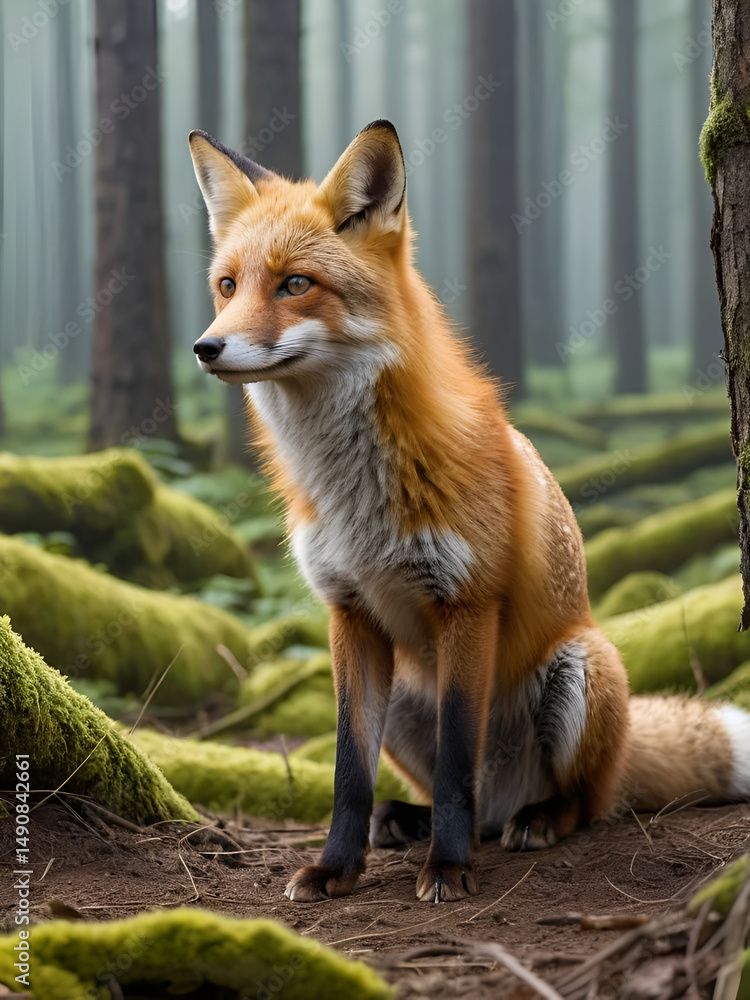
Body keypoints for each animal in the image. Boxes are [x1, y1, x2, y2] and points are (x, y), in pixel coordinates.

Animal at [189, 121, 750, 903]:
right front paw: (337, 867)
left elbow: (458, 758)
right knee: (471, 802)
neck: (354, 493)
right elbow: (348, 770)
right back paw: (409, 821)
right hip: (406, 698)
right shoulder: (349, 613)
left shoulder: (466, 604)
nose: (205, 347)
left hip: (583, 668)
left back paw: (533, 820)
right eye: (228, 285)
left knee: (571, 800)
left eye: (295, 284)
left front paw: (448, 869)